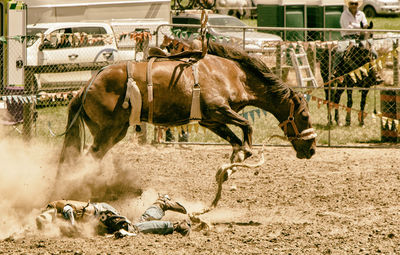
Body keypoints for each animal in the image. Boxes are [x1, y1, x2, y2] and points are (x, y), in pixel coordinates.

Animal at [58, 40, 316, 166]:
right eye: (304, 116)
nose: (312, 149)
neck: (233, 73)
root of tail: (86, 87)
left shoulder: (211, 121)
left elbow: (235, 138)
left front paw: (238, 155)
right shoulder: (218, 110)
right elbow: (247, 125)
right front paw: (246, 152)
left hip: (112, 132)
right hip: (108, 131)